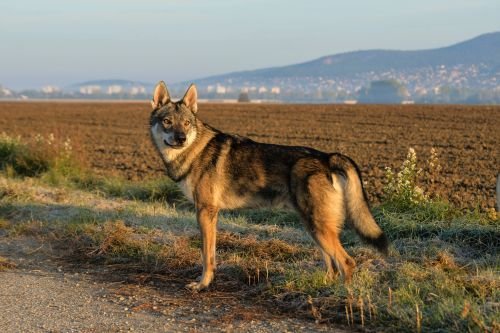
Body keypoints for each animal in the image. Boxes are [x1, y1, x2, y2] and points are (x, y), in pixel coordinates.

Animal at [146, 82, 388, 290]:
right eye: (167, 121)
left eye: (186, 123)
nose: (181, 138)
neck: (195, 151)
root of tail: (327, 157)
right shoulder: (209, 214)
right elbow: (211, 254)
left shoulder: (206, 212)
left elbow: (207, 256)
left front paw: (202, 285)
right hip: (313, 227)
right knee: (332, 266)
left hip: (318, 227)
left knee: (347, 263)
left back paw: (343, 296)